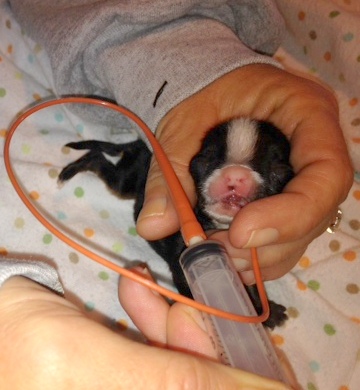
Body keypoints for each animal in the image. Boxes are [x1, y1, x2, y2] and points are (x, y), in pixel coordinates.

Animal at [59, 118, 294, 330]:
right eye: (203, 161)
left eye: (279, 171)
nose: (236, 174)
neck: (220, 226)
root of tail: (141, 145)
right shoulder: (182, 262)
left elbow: (252, 285)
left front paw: (267, 311)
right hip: (125, 180)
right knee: (97, 160)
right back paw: (68, 172)